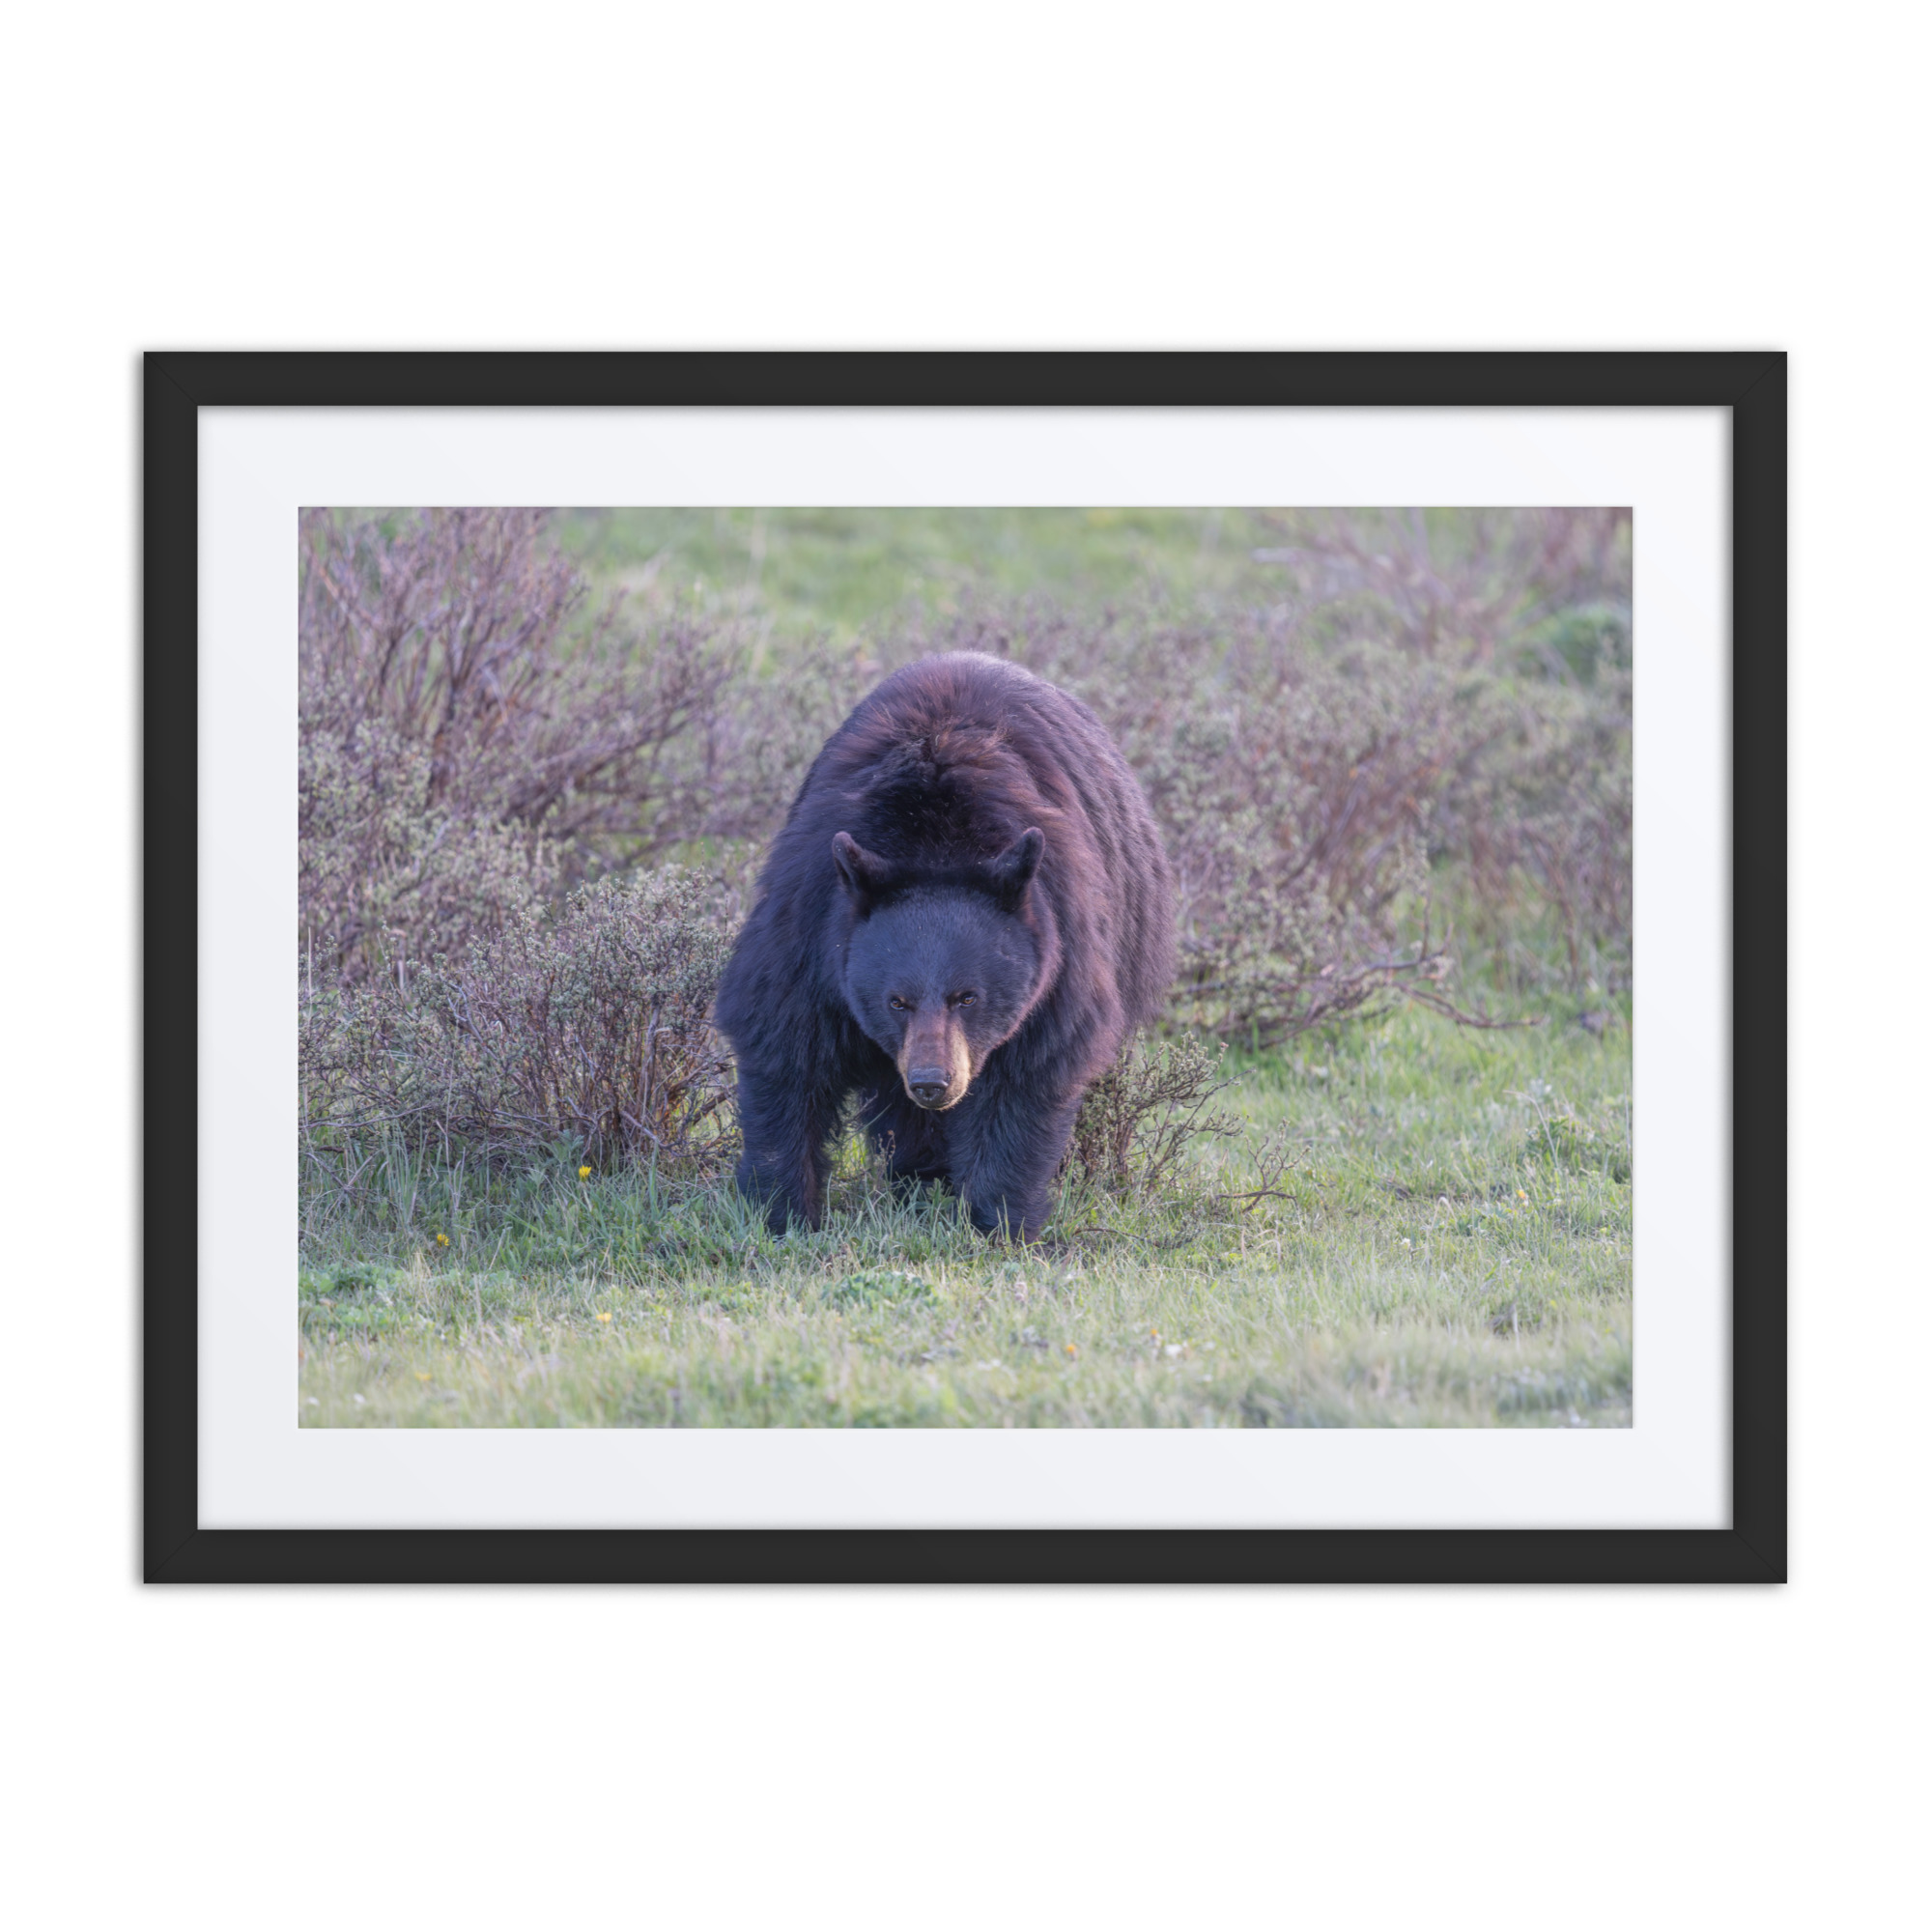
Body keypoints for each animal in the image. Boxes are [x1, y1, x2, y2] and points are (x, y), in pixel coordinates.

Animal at [714, 652, 1176, 1241]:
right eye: (896, 1001)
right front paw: (782, 1212)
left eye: (968, 997)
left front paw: (1001, 1222)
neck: (933, 840)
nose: (933, 1083)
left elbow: (1027, 1076)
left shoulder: (1060, 946)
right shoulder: (811, 923)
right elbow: (784, 1046)